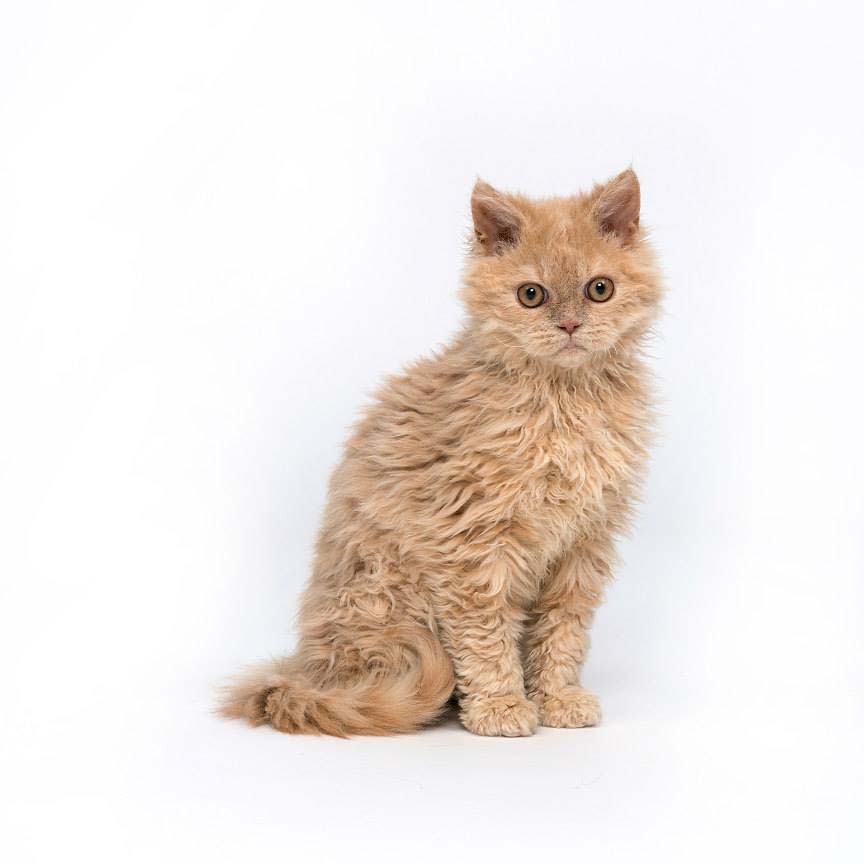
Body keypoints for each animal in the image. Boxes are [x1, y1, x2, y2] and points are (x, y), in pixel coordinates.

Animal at [221, 167, 660, 736]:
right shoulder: (472, 542)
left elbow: (562, 632)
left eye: (599, 289)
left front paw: (558, 699)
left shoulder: (584, 545)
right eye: (532, 295)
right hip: (385, 599)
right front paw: (501, 706)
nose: (569, 326)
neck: (562, 402)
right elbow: (486, 634)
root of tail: (305, 671)